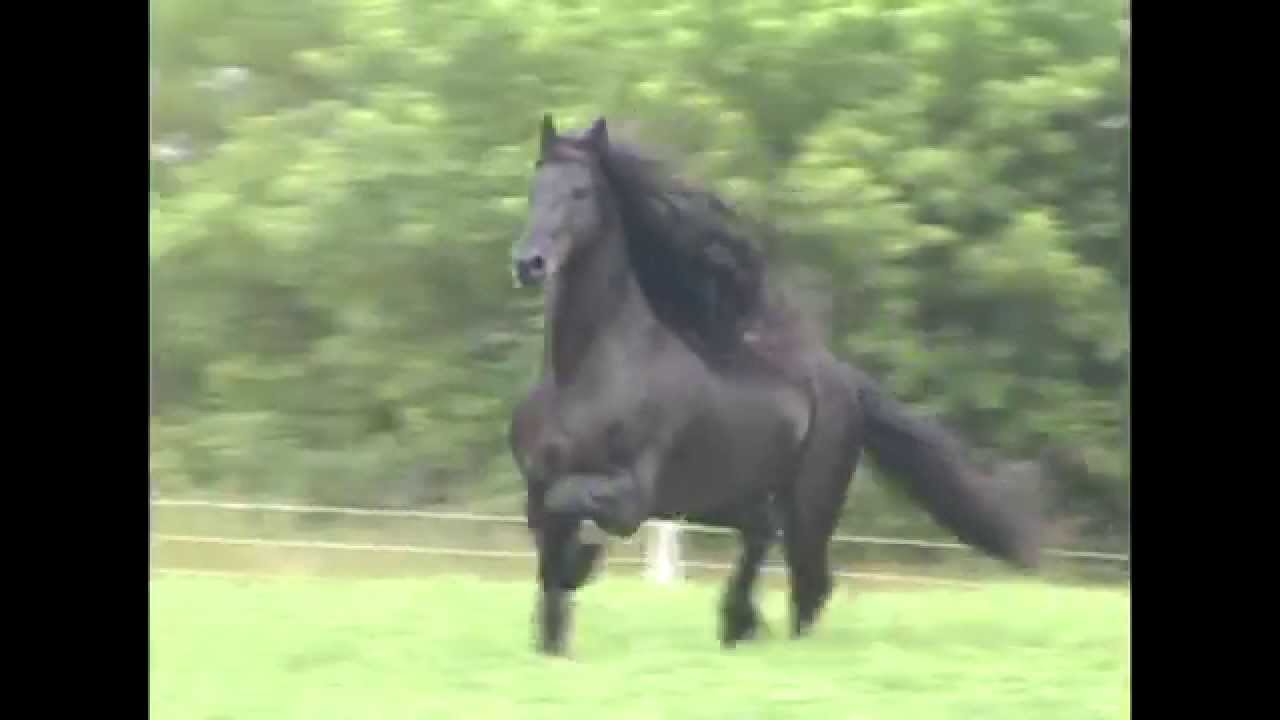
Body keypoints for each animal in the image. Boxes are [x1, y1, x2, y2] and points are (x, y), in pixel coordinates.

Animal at [508, 113, 1043, 656]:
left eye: (580, 191)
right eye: (534, 187)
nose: (529, 263)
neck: (584, 373)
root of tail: (841, 377)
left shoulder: (631, 497)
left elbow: (565, 511)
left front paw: (581, 565)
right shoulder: (538, 483)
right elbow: (547, 540)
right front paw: (555, 627)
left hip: (810, 505)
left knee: (809, 582)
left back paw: (765, 634)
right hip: (732, 499)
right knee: (764, 539)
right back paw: (738, 624)